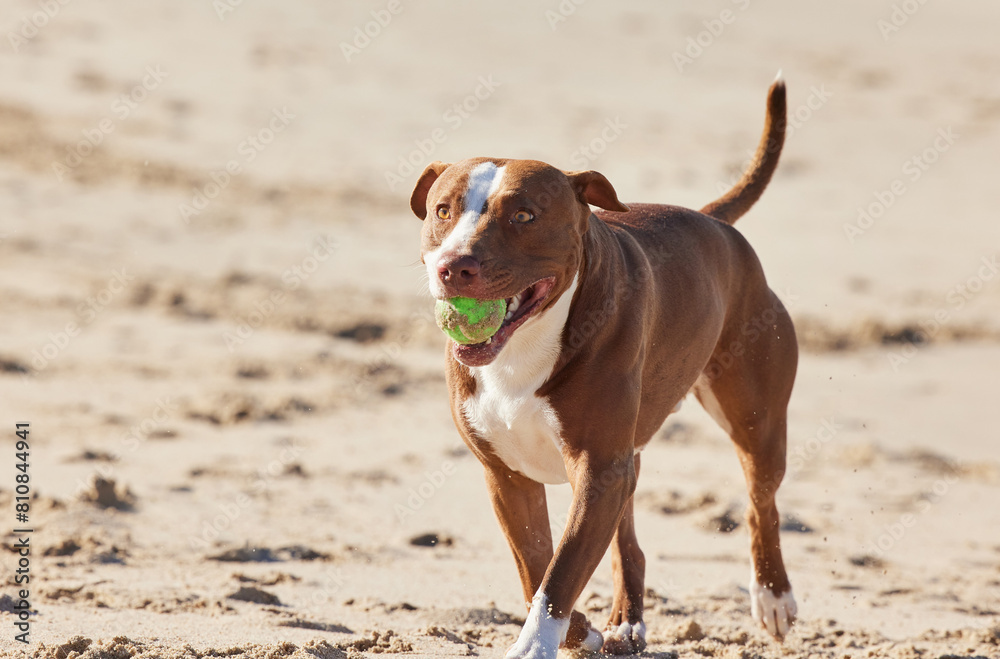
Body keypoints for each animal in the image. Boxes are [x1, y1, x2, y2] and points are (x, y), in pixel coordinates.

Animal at [410, 76, 796, 658]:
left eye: (523, 215)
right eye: (442, 211)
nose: (454, 266)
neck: (523, 349)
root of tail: (712, 220)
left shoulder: (597, 469)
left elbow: (561, 572)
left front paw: (535, 646)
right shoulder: (509, 477)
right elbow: (536, 568)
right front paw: (581, 631)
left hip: (756, 418)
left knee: (761, 500)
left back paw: (772, 596)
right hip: (628, 459)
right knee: (627, 539)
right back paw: (624, 621)